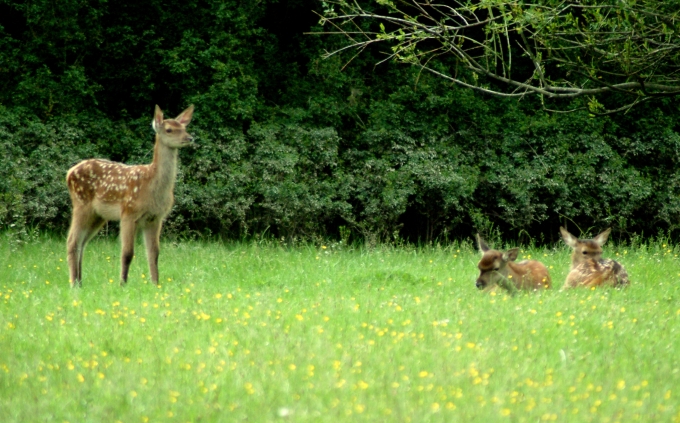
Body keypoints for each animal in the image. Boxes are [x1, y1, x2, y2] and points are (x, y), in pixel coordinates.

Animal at [65, 105, 194, 288]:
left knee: (82, 242)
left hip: (98, 215)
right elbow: (127, 252)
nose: (189, 138)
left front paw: (155, 283)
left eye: (184, 127)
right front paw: (123, 284)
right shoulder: (128, 212)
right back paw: (74, 284)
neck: (152, 187)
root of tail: (69, 173)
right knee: (72, 241)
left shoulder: (155, 218)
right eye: (169, 129)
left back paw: (80, 281)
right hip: (81, 204)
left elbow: (154, 253)